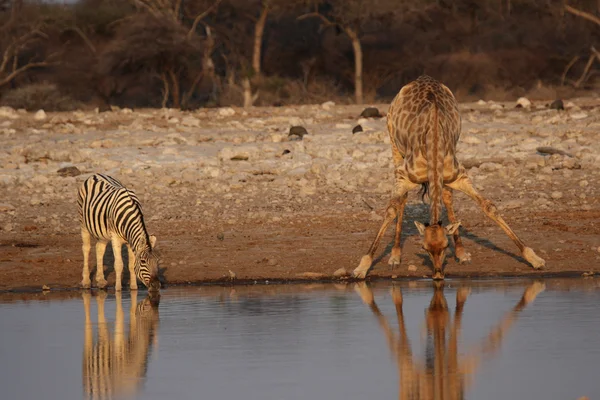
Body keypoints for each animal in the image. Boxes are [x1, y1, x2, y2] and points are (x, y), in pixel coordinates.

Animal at [354, 76, 548, 282]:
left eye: (445, 246)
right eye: (424, 248)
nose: (438, 275)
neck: (433, 144)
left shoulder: (459, 175)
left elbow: (488, 206)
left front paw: (534, 258)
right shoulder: (403, 176)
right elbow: (391, 209)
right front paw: (362, 266)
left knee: (446, 196)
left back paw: (462, 253)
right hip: (394, 144)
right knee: (403, 200)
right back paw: (395, 256)